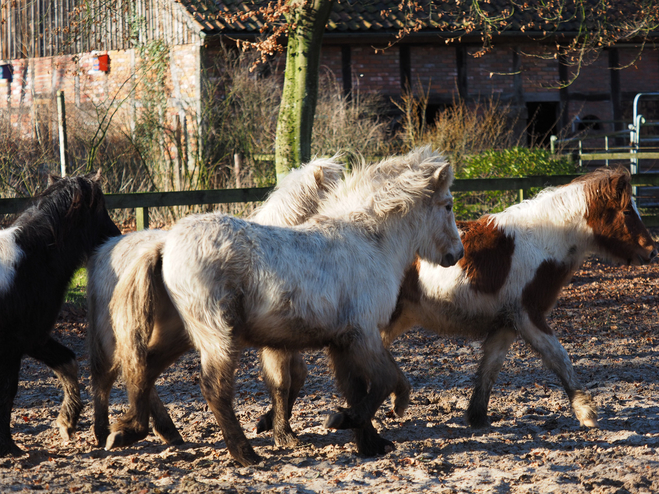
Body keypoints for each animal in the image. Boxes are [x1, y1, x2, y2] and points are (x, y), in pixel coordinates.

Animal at [0, 171, 120, 456]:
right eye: (100, 208)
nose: (117, 235)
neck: (31, 262)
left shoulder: (35, 339)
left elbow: (68, 362)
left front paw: (67, 422)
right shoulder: (15, 344)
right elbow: (8, 392)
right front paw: (8, 447)